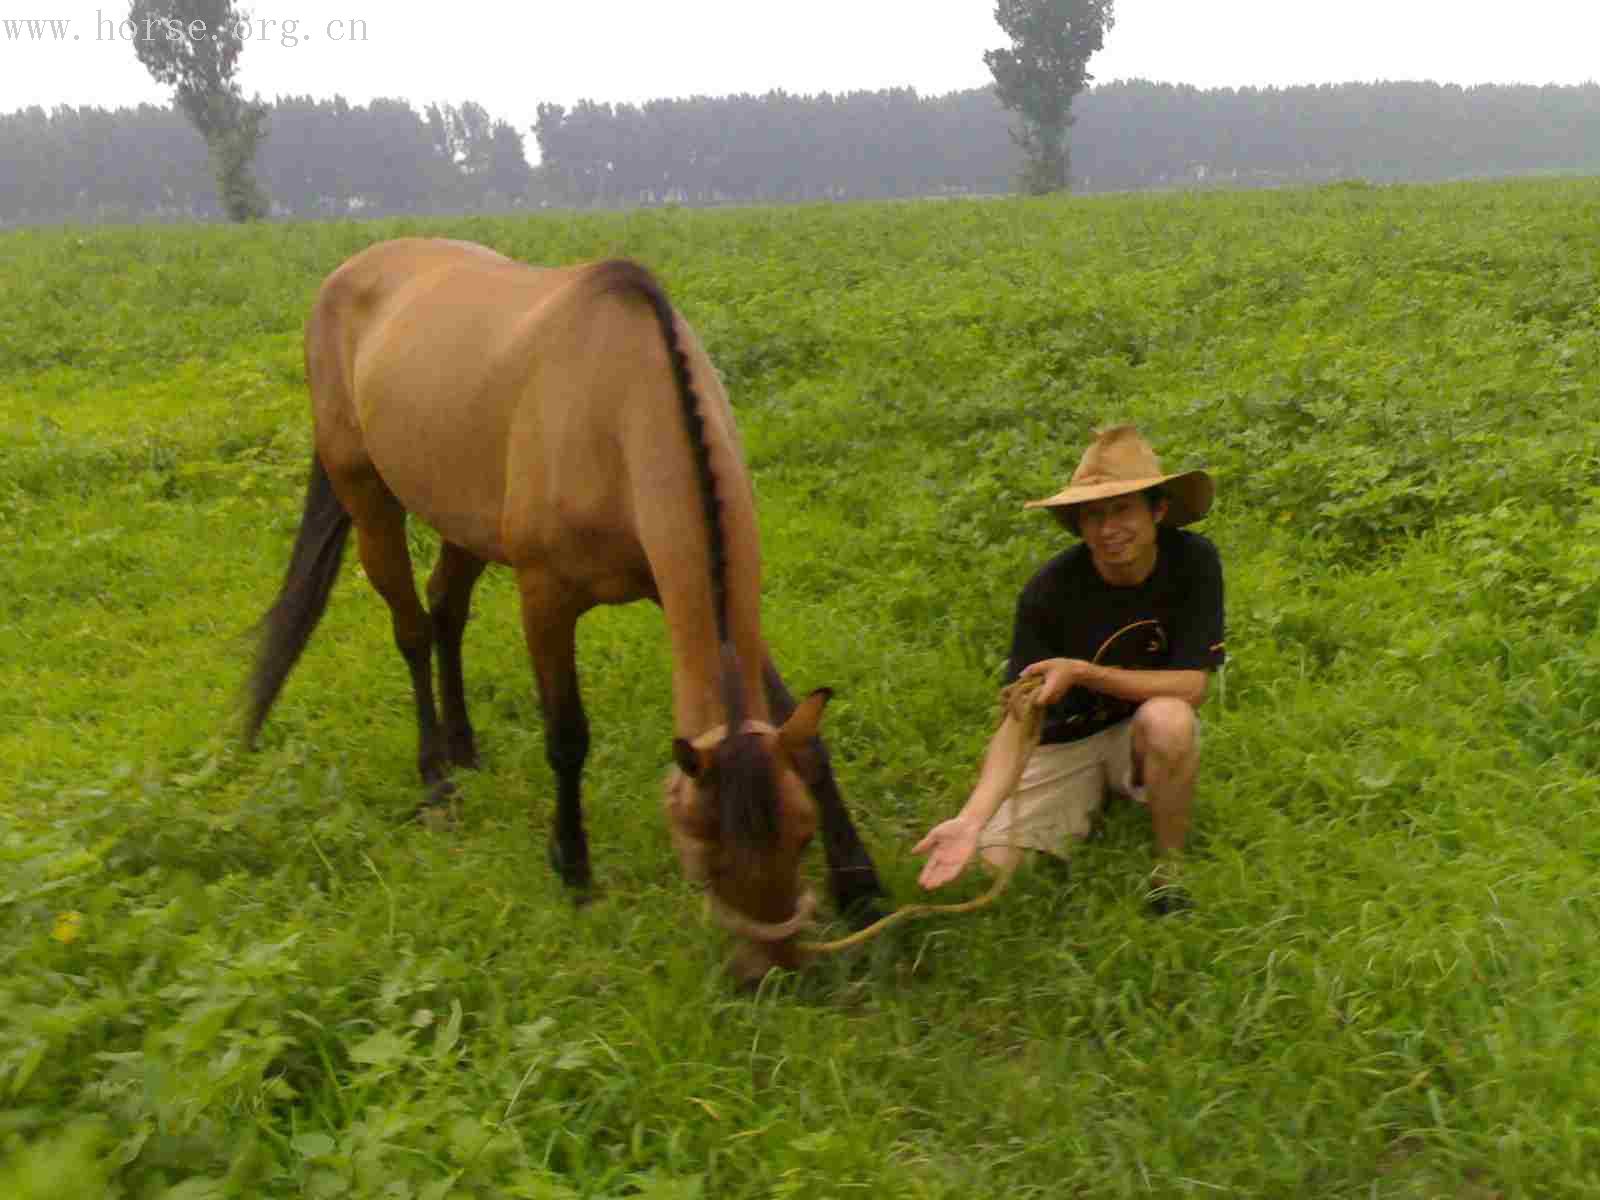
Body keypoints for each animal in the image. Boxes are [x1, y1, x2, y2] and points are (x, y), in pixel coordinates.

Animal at [246, 240, 889, 979]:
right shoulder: (545, 597)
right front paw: (573, 869)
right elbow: (567, 737)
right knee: (410, 628)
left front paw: (861, 883)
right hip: (368, 493)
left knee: (446, 609)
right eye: (705, 856)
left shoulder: (680, 594)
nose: (775, 967)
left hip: (465, 519)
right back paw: (436, 776)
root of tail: (346, 273)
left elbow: (800, 732)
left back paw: (465, 747)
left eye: (801, 835)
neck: (621, 410)